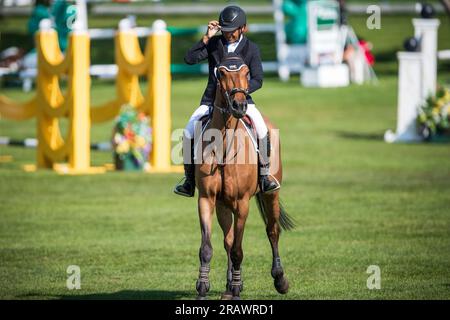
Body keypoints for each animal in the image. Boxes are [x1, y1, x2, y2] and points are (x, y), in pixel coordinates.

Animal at [193, 53, 296, 300]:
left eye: (247, 72)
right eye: (220, 73)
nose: (239, 106)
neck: (223, 145)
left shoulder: (242, 203)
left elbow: (239, 250)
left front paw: (238, 290)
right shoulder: (207, 199)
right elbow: (207, 248)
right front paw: (203, 288)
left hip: (271, 195)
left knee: (272, 231)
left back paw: (279, 279)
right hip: (223, 204)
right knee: (228, 241)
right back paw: (229, 285)